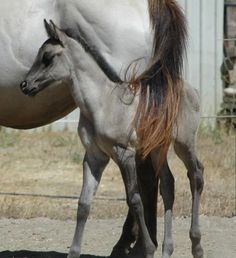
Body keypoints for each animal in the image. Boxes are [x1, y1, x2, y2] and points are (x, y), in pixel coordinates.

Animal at [20, 4, 204, 256]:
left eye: (47, 57)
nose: (25, 85)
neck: (102, 103)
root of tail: (190, 88)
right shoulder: (94, 156)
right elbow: (84, 203)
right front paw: (73, 252)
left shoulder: (124, 153)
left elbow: (134, 199)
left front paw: (147, 248)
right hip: (157, 148)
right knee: (168, 184)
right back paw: (168, 249)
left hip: (184, 143)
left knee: (196, 174)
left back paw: (196, 245)